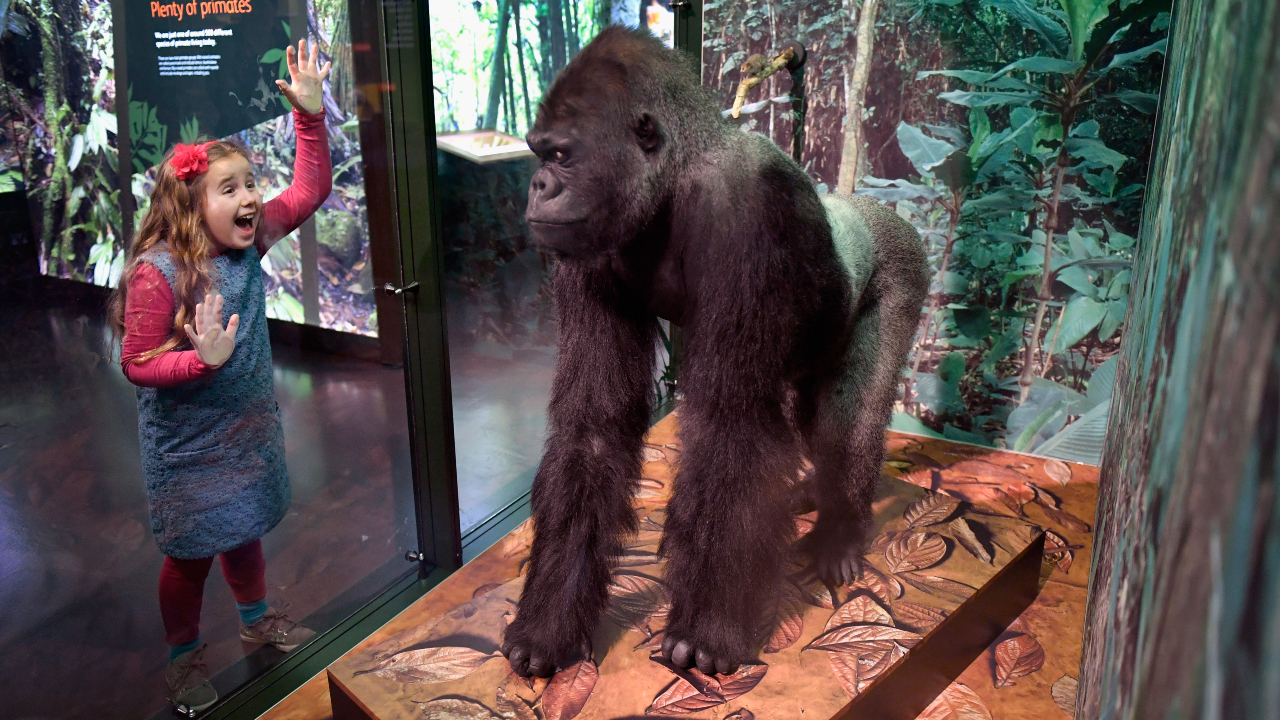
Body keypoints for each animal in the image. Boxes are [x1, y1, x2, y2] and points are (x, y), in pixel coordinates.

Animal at [501, 26, 931, 676]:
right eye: (538, 153)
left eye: (561, 156)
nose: (538, 186)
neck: (675, 179)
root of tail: (863, 203)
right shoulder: (588, 246)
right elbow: (593, 426)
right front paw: (549, 621)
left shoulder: (747, 211)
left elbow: (732, 426)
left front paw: (708, 628)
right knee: (810, 419)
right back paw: (813, 493)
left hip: (905, 264)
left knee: (844, 421)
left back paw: (841, 528)